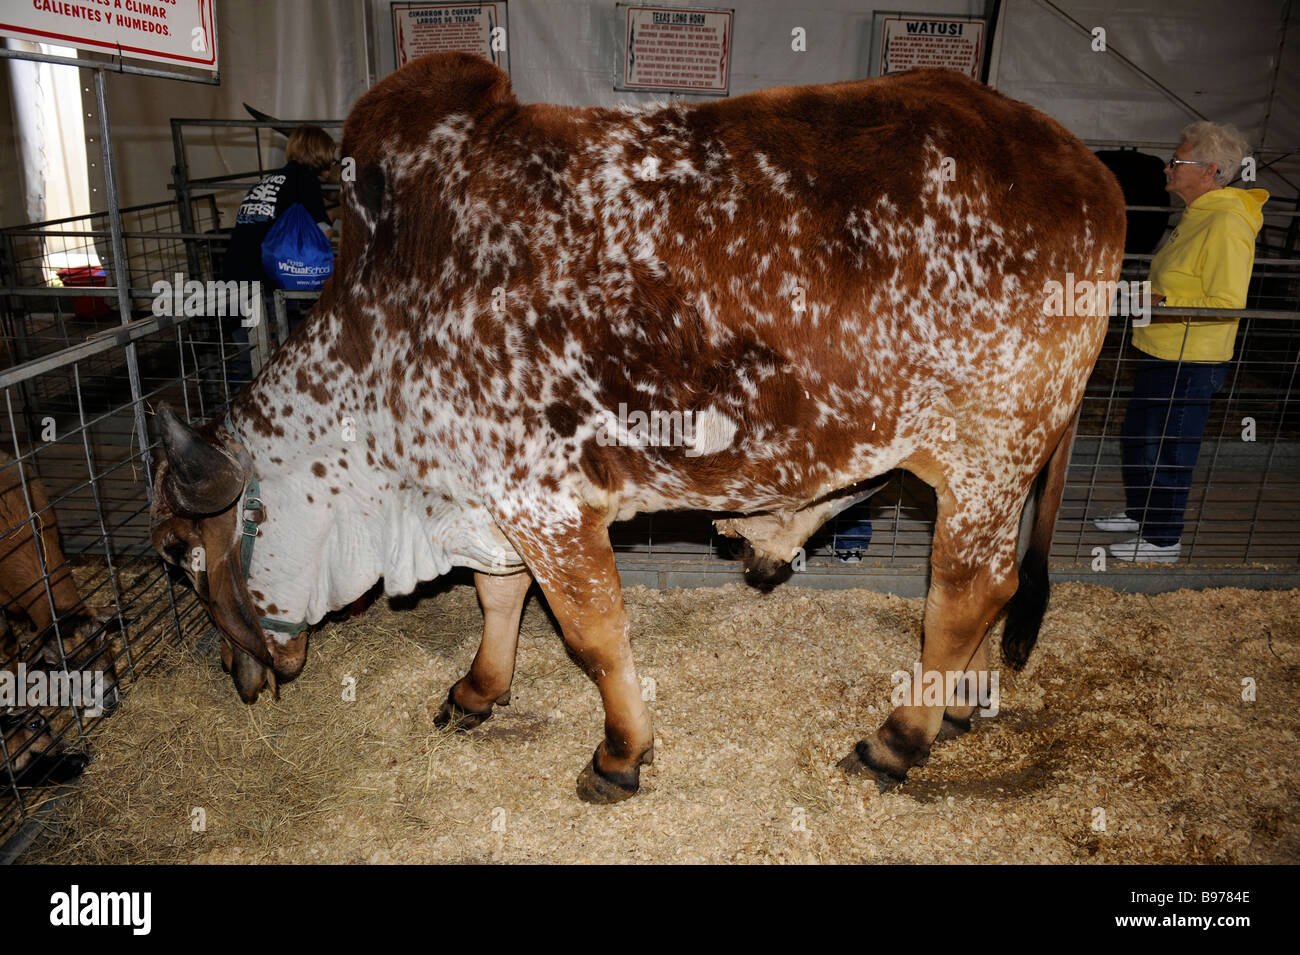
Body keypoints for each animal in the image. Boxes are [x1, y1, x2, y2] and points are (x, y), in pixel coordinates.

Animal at [149, 52, 1128, 800]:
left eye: (179, 555)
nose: (239, 674)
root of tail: (1088, 170)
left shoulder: (546, 501)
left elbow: (593, 634)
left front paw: (620, 753)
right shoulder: (493, 501)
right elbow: (497, 597)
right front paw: (478, 690)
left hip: (985, 454)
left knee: (969, 591)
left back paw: (900, 735)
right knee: (990, 589)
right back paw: (960, 700)